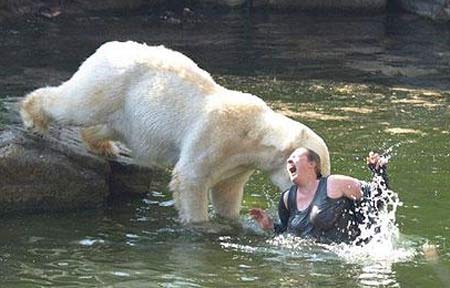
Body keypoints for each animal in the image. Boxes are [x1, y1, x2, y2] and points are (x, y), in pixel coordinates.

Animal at [20, 41, 330, 224]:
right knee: (76, 104)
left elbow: (226, 191)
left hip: (127, 110)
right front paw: (200, 226)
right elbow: (191, 178)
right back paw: (34, 118)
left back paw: (103, 146)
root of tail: (106, 47)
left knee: (108, 124)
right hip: (111, 82)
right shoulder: (215, 136)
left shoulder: (238, 164)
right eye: (319, 170)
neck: (253, 133)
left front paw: (231, 221)